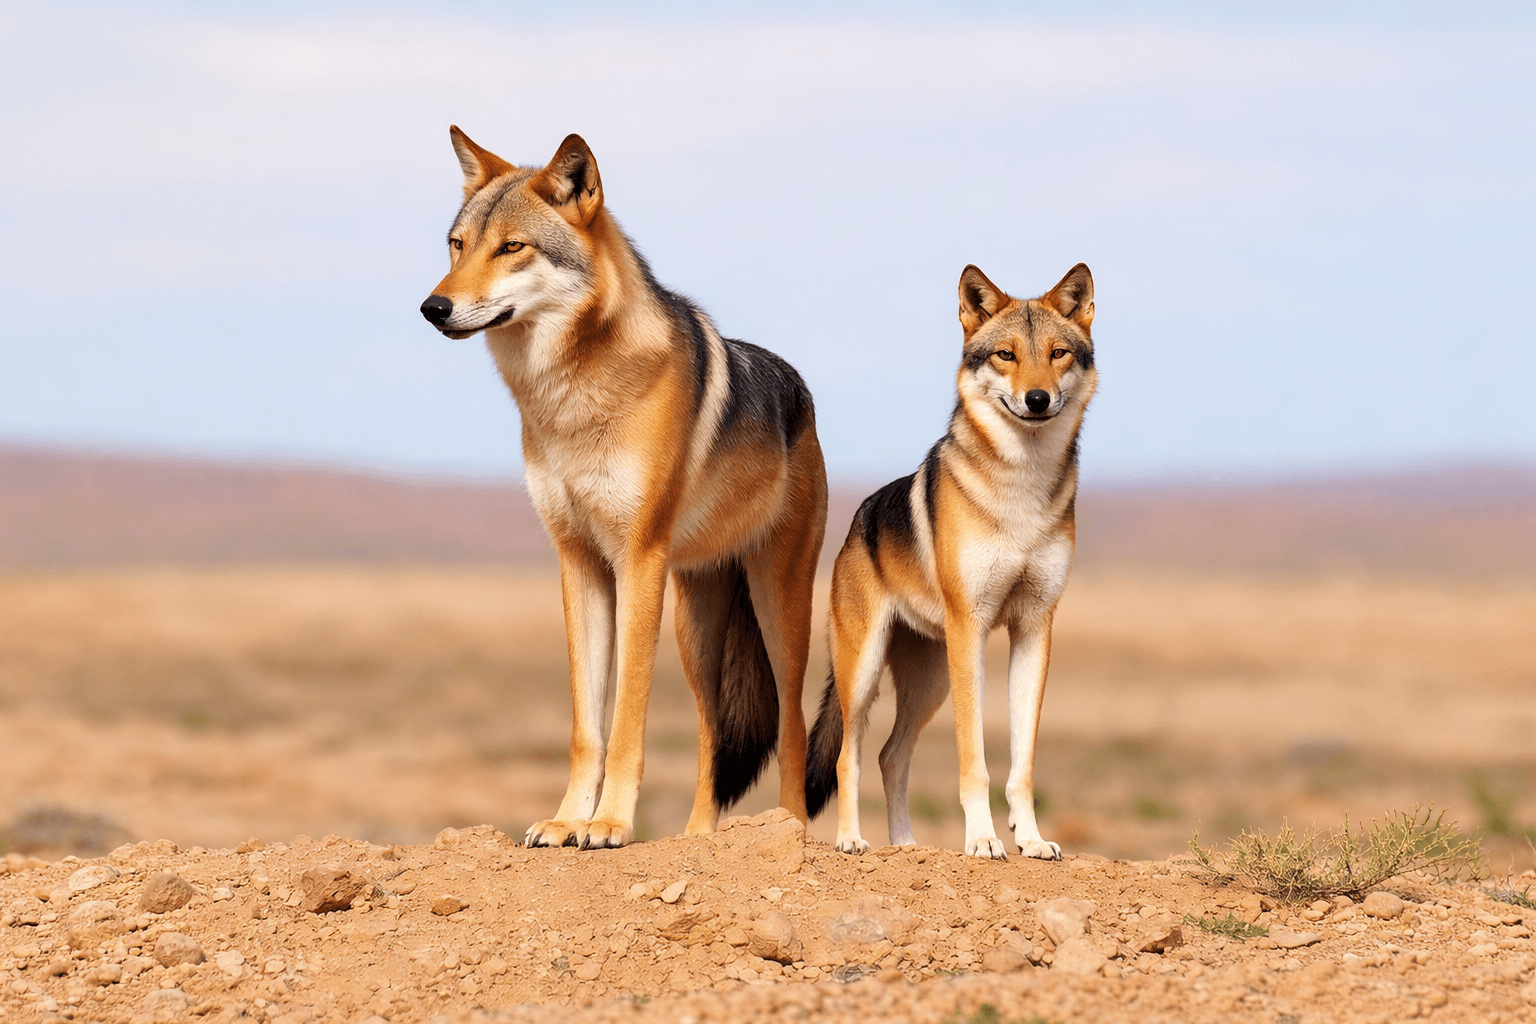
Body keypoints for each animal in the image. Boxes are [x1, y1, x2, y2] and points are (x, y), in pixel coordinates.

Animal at [420, 128, 827, 849]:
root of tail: (799, 389)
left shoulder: (638, 562)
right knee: (712, 737)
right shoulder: (579, 562)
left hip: (779, 611)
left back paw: (788, 832)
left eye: (512, 247)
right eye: (457, 244)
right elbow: (589, 725)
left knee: (793, 727)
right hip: (698, 634)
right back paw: (696, 838)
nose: (432, 307)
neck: (568, 400)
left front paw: (609, 824)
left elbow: (629, 719)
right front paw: (566, 821)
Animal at [804, 263, 1097, 860]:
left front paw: (1032, 841)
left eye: (1057, 353)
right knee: (849, 756)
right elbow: (975, 763)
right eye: (1006, 355)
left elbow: (1022, 766)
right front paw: (983, 841)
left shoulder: (1034, 627)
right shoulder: (973, 629)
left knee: (891, 756)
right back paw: (852, 840)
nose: (1038, 399)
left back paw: (906, 844)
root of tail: (858, 522)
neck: (1021, 490)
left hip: (931, 683)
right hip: (866, 675)